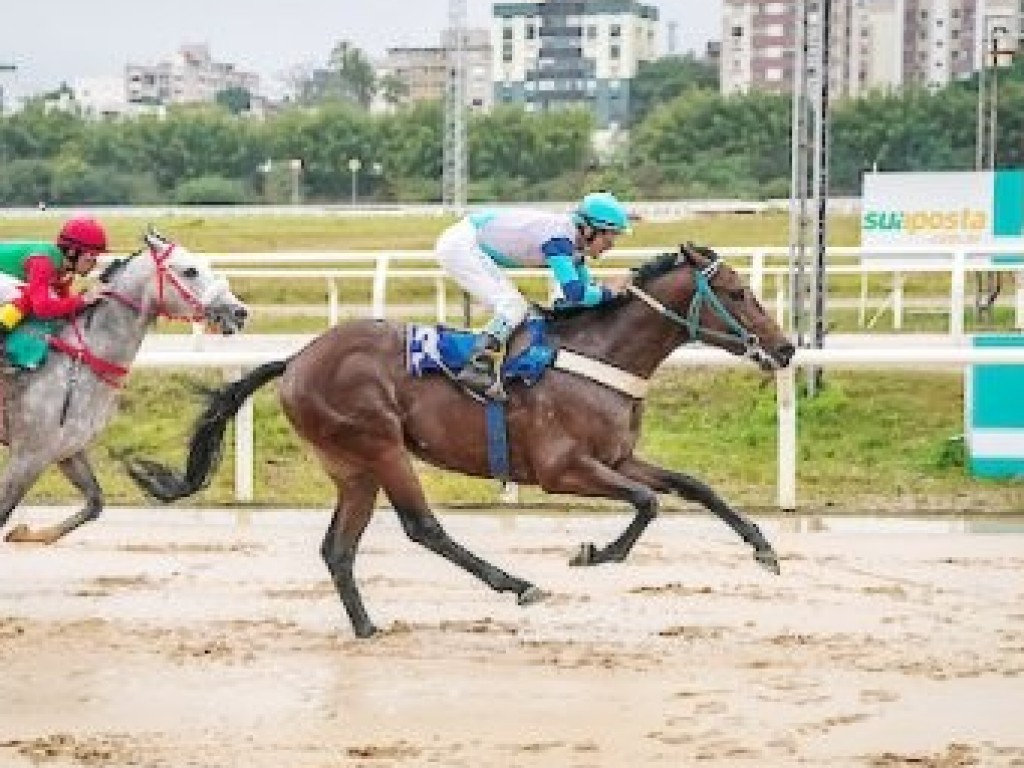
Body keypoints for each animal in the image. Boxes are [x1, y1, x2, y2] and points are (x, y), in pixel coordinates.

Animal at [0, 230, 247, 548]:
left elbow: (95, 502)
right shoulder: (28, 455)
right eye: (190, 270)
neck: (77, 360)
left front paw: (26, 534)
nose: (239, 312)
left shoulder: (67, 449)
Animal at [128, 244, 794, 638]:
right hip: (380, 446)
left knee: (338, 549)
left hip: (353, 466)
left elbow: (693, 487)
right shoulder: (563, 469)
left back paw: (367, 628)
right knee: (423, 528)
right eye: (738, 293)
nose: (786, 348)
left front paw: (764, 548)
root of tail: (294, 359)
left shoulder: (618, 457)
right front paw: (594, 553)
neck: (597, 356)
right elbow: (649, 503)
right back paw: (517, 585)